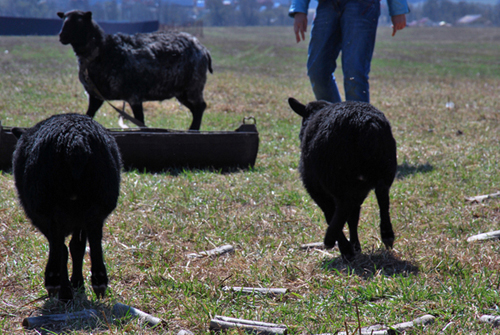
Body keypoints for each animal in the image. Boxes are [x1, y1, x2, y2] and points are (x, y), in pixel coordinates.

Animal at [11, 113, 122, 302]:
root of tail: (75, 141)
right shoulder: (80, 218)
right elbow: (77, 247)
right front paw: (78, 284)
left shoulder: (39, 217)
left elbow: (63, 248)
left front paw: (69, 288)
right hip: (100, 196)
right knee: (94, 234)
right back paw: (98, 280)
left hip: (46, 201)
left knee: (58, 242)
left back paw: (56, 284)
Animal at [57, 9, 213, 131]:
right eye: (64, 20)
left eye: (79, 21)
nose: (61, 36)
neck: (102, 50)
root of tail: (203, 49)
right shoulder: (96, 95)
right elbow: (89, 114)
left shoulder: (134, 95)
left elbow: (140, 121)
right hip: (182, 91)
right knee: (195, 108)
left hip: (194, 85)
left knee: (200, 107)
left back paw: (193, 129)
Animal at [290, 98, 398, 262]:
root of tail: (365, 123)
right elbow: (354, 217)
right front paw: (356, 245)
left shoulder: (315, 187)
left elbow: (330, 213)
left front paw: (347, 247)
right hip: (384, 168)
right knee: (382, 194)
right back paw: (387, 234)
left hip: (336, 177)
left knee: (342, 206)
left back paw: (334, 241)